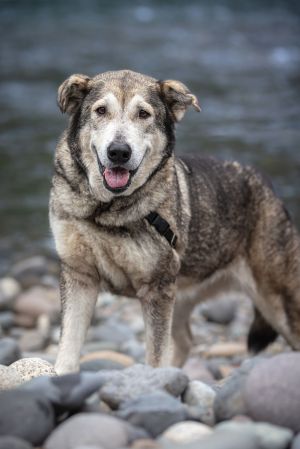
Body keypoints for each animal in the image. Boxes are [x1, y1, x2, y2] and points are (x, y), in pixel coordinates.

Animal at [50, 68, 300, 372]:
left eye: (143, 114)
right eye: (100, 111)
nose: (119, 151)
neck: (106, 210)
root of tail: (269, 189)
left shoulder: (157, 291)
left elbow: (156, 357)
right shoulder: (79, 276)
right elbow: (68, 348)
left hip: (279, 303)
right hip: (181, 298)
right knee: (186, 341)